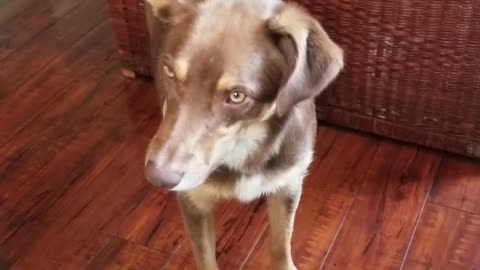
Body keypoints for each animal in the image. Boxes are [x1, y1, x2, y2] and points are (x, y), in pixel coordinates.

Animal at [144, 1, 344, 268]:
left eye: (237, 96)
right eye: (169, 72)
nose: (158, 177)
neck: (245, 145)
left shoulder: (288, 184)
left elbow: (281, 245)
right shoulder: (195, 201)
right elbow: (206, 258)